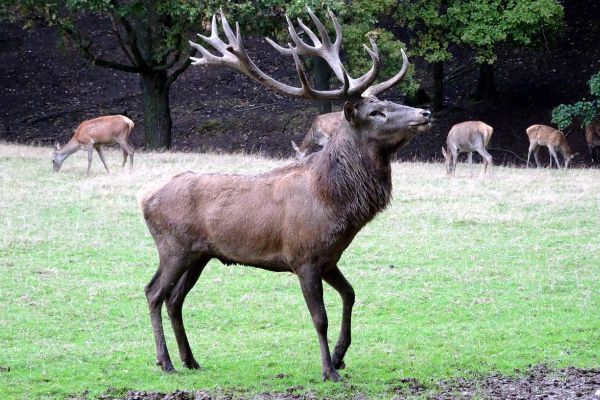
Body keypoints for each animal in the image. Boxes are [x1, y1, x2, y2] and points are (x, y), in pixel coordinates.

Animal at [139, 9, 432, 382]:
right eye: (376, 113)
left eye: (388, 101)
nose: (425, 113)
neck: (333, 203)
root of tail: (144, 197)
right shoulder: (303, 256)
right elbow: (319, 318)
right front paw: (329, 370)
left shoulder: (329, 258)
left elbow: (351, 295)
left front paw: (340, 356)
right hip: (173, 247)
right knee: (153, 292)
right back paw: (165, 361)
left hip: (200, 254)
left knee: (175, 299)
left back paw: (190, 359)